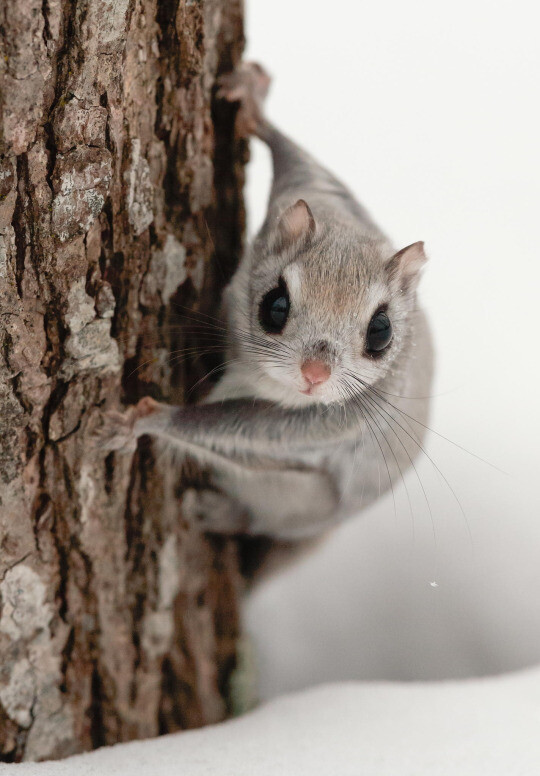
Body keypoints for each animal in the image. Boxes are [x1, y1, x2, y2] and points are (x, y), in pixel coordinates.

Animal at [97, 63, 434, 544]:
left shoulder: (336, 421)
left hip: (294, 495)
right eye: (275, 306)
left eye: (381, 332)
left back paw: (218, 514)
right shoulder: (317, 189)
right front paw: (253, 103)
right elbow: (296, 156)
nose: (315, 374)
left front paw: (148, 420)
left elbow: (244, 429)